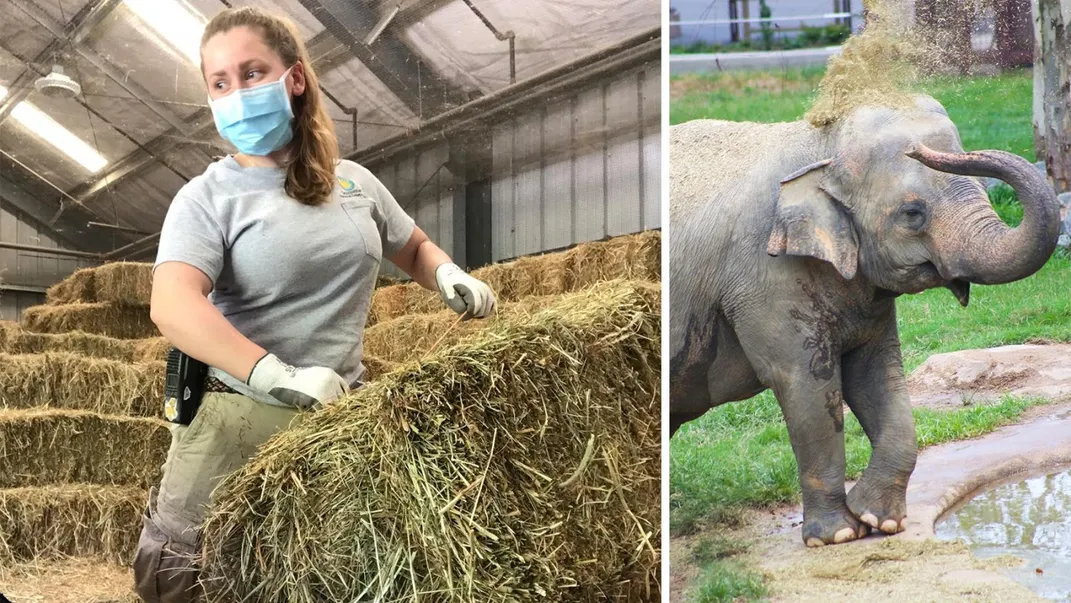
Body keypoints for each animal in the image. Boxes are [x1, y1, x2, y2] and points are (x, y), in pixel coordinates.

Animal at [668, 95, 1062, 548]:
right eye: (913, 213)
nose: (919, 149)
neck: (818, 144)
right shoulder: (764, 276)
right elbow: (805, 384)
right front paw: (837, 536)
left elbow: (877, 375)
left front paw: (880, 521)